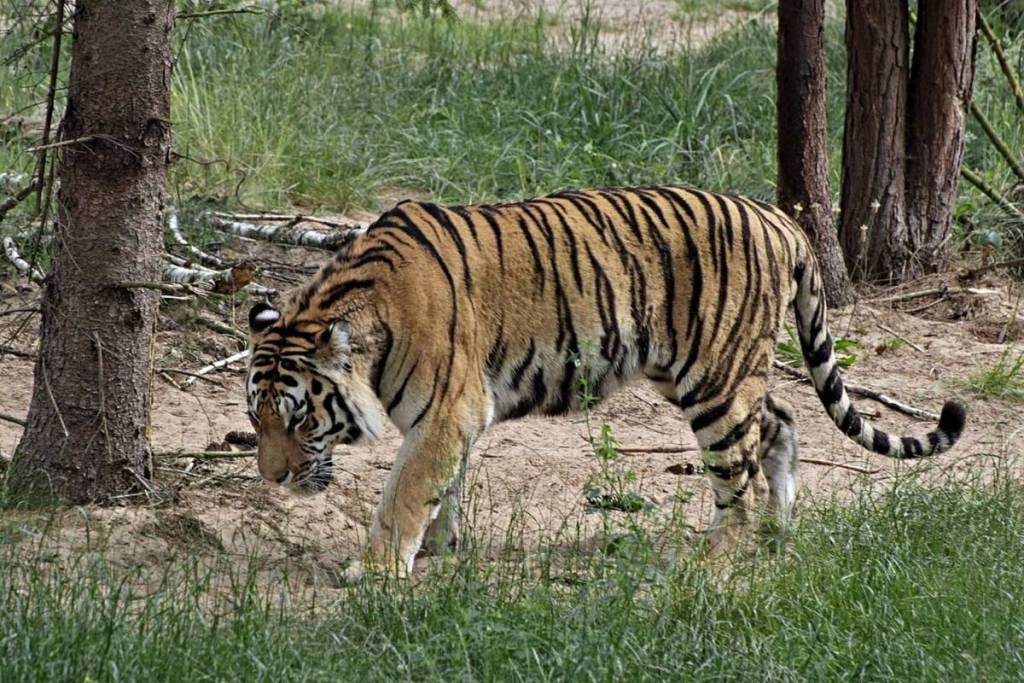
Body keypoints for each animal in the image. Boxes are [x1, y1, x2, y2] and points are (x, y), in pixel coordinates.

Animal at [245, 184, 966, 580]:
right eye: (257, 419)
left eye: (301, 418)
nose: (274, 478)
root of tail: (779, 218)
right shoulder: (453, 417)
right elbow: (442, 486)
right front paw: (440, 550)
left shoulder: (448, 410)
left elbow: (404, 493)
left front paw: (377, 571)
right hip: (706, 372)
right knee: (781, 422)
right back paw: (777, 535)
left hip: (714, 380)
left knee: (741, 478)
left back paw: (715, 564)